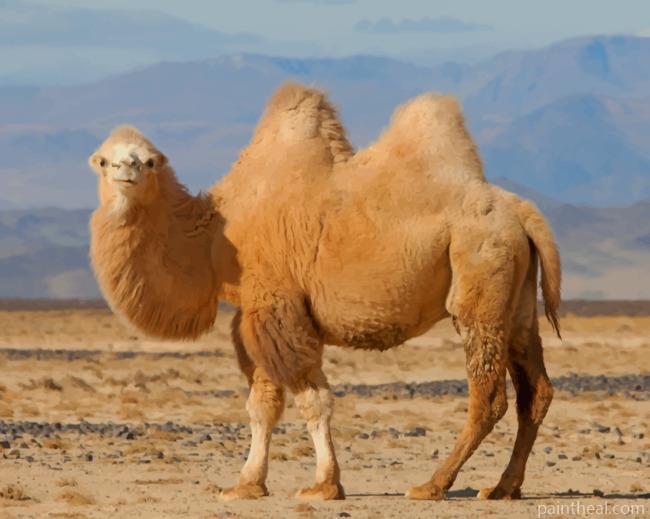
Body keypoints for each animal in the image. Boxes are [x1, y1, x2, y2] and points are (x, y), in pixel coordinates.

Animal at [88, 82, 561, 502]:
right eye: (104, 160)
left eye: (149, 161)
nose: (127, 170)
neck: (214, 237)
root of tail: (522, 213)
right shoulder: (255, 315)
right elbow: (263, 404)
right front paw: (247, 484)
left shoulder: (277, 306)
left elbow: (310, 400)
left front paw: (324, 486)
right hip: (517, 302)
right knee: (535, 391)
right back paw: (502, 487)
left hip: (480, 279)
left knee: (489, 396)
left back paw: (433, 485)